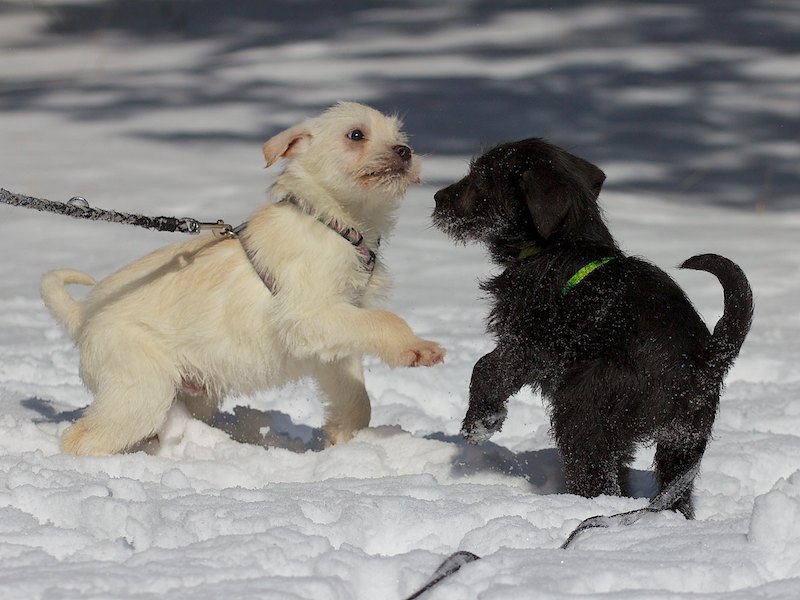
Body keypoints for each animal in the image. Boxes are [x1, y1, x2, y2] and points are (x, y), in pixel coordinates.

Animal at [41, 101, 445, 455]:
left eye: (398, 135)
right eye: (356, 134)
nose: (405, 151)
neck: (334, 221)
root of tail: (84, 319)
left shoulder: (334, 334)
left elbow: (356, 395)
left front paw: (342, 436)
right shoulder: (310, 314)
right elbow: (385, 320)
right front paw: (418, 347)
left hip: (190, 391)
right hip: (140, 390)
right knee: (81, 439)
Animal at [432, 138, 753, 518]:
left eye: (481, 177)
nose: (436, 198)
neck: (558, 243)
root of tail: (705, 360)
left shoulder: (529, 346)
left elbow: (486, 369)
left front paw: (481, 423)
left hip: (582, 401)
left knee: (593, 470)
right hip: (683, 443)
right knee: (672, 492)